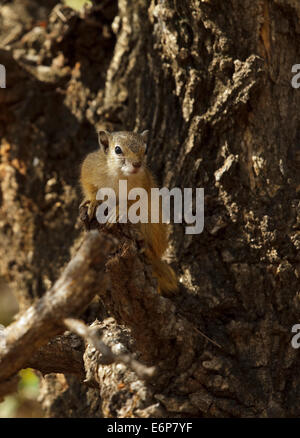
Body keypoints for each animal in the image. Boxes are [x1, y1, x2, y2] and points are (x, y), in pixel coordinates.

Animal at [80, 129, 178, 294]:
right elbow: (89, 187)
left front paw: (118, 211)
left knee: (155, 249)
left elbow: (131, 202)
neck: (120, 175)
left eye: (145, 150)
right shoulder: (90, 168)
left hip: (152, 223)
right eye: (117, 150)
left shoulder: (142, 185)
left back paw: (146, 247)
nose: (137, 164)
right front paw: (93, 201)